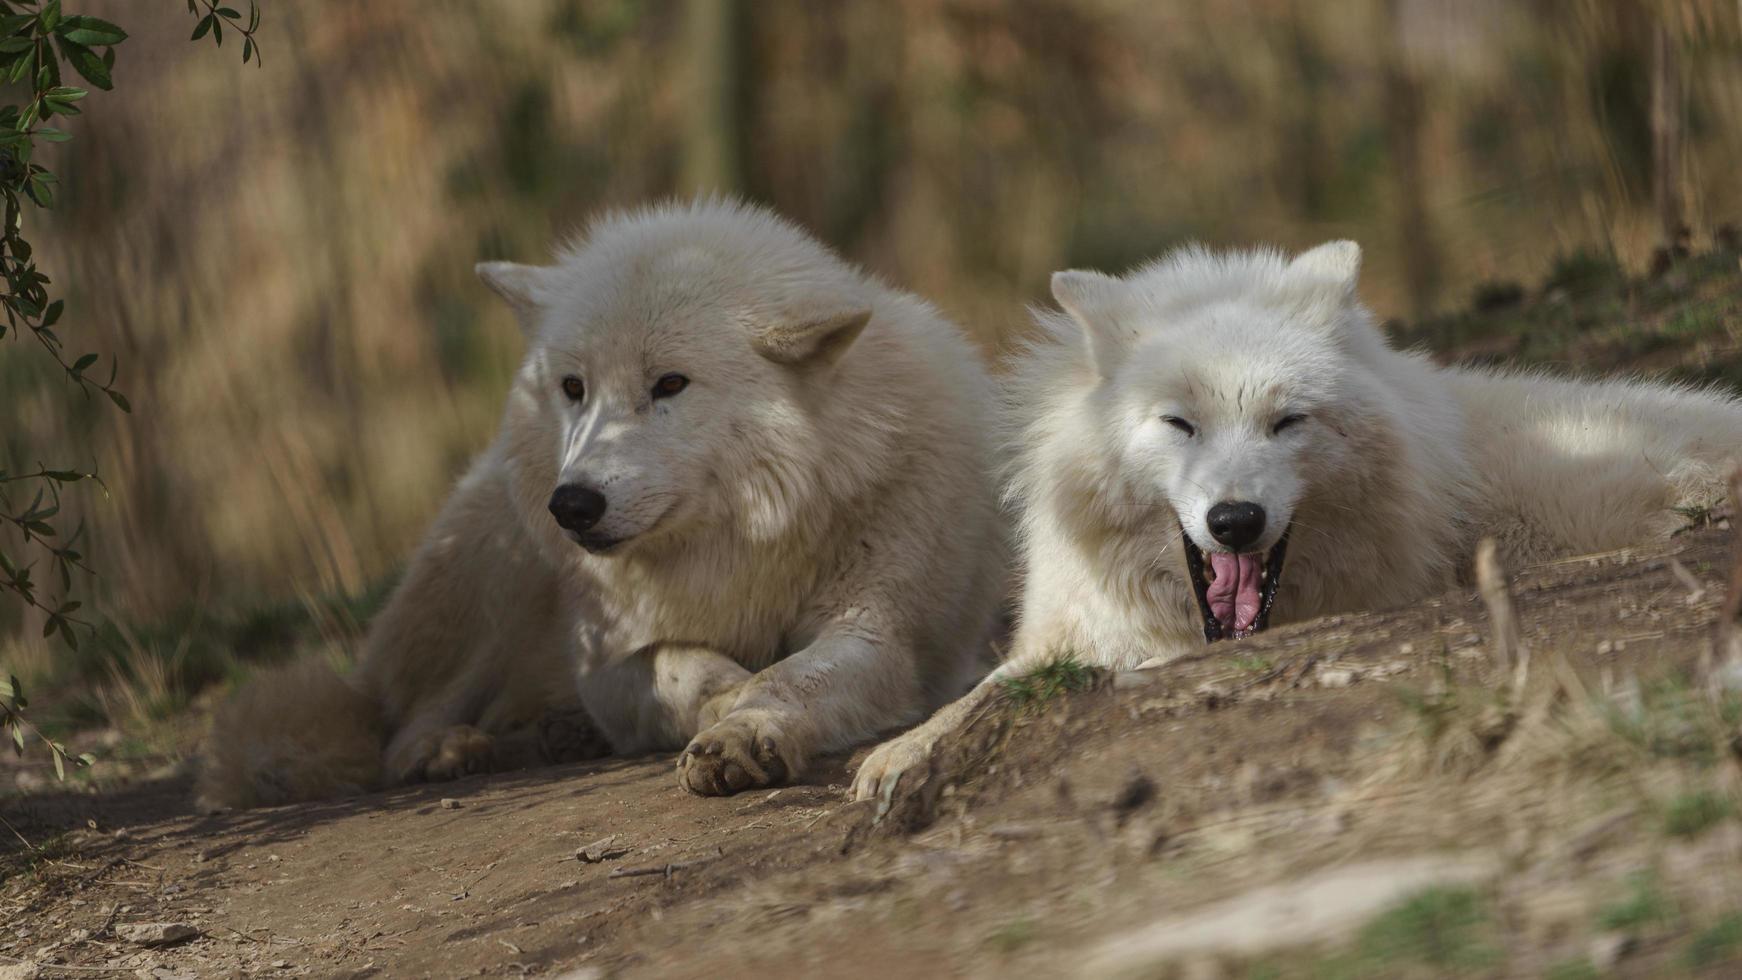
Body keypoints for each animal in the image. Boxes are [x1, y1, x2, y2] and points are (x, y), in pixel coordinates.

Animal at [195, 195, 1003, 807]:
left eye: (670, 383)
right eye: (573, 387)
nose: (573, 506)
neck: (743, 542)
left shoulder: (877, 631)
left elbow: (793, 675)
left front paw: (744, 732)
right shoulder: (604, 659)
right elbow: (677, 665)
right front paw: (722, 701)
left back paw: (553, 735)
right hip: (496, 565)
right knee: (399, 726)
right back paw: (452, 749)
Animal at [853, 240, 1742, 804]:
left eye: (1286, 422)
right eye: (1179, 424)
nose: (1235, 520)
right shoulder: (1071, 629)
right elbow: (982, 692)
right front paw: (896, 756)